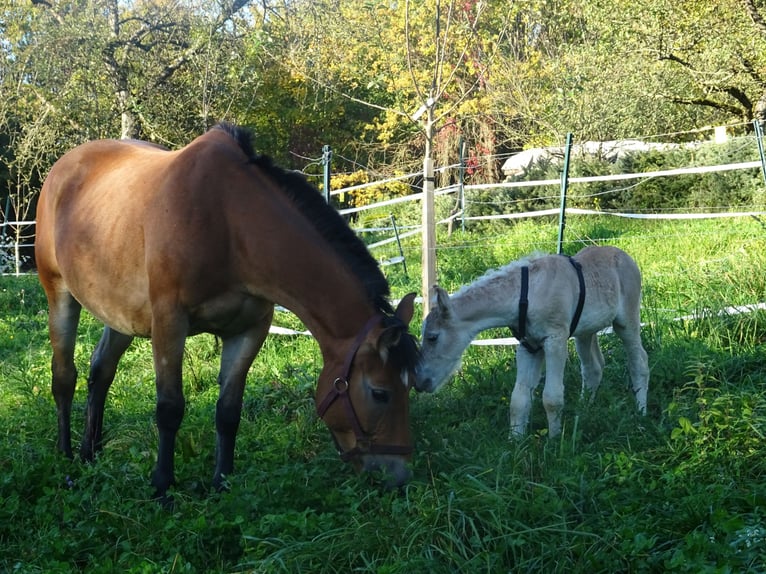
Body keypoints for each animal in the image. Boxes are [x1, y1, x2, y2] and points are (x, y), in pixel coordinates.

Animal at [34, 122, 420, 500]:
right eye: (380, 393)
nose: (399, 475)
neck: (229, 223)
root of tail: (63, 167)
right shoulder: (169, 323)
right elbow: (169, 407)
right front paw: (162, 485)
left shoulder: (250, 329)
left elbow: (229, 411)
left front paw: (222, 481)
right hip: (60, 294)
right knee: (64, 376)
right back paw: (66, 455)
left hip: (121, 314)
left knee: (101, 372)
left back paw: (90, 452)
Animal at [416, 245, 652, 438]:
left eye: (433, 337)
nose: (420, 383)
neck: (527, 294)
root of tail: (627, 257)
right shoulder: (528, 346)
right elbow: (518, 399)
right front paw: (515, 444)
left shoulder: (555, 340)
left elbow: (551, 397)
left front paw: (554, 443)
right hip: (585, 332)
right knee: (593, 368)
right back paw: (584, 411)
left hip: (626, 322)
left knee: (639, 361)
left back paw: (641, 413)